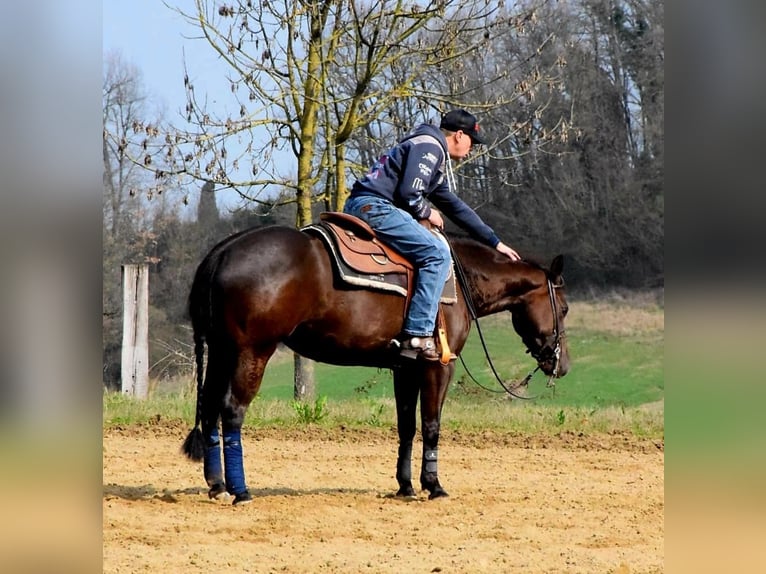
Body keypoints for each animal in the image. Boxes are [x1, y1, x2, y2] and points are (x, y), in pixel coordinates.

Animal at [182, 219, 570, 504]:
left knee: (211, 407)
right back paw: (241, 490)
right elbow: (431, 424)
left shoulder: (406, 368)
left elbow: (407, 426)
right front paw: (433, 485)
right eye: (564, 308)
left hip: (222, 351)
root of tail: (223, 251)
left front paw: (406, 486)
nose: (562, 365)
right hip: (252, 352)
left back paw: (217, 485)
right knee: (232, 411)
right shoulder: (439, 366)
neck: (460, 281)